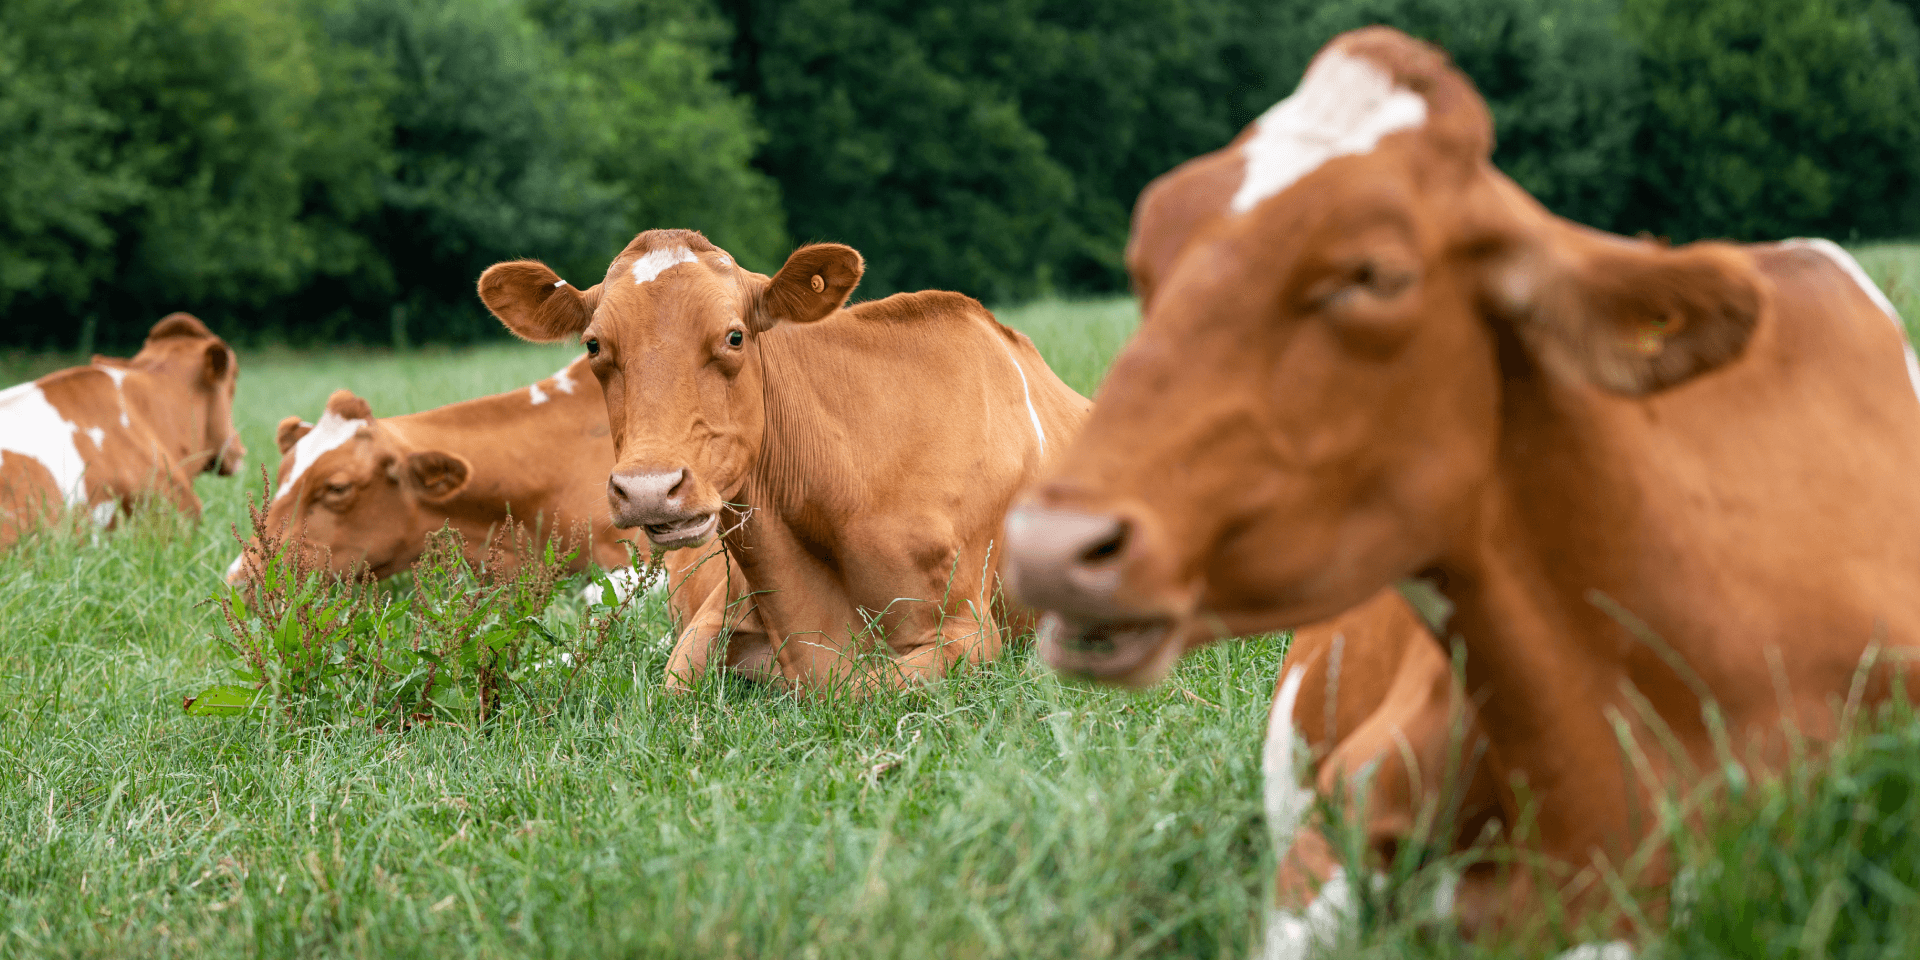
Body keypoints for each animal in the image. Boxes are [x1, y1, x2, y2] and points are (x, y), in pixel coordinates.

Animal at [478, 230, 1090, 692]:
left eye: (734, 337)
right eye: (593, 346)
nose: (649, 489)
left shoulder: (970, 632)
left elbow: (860, 687)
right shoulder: (715, 610)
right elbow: (670, 684)